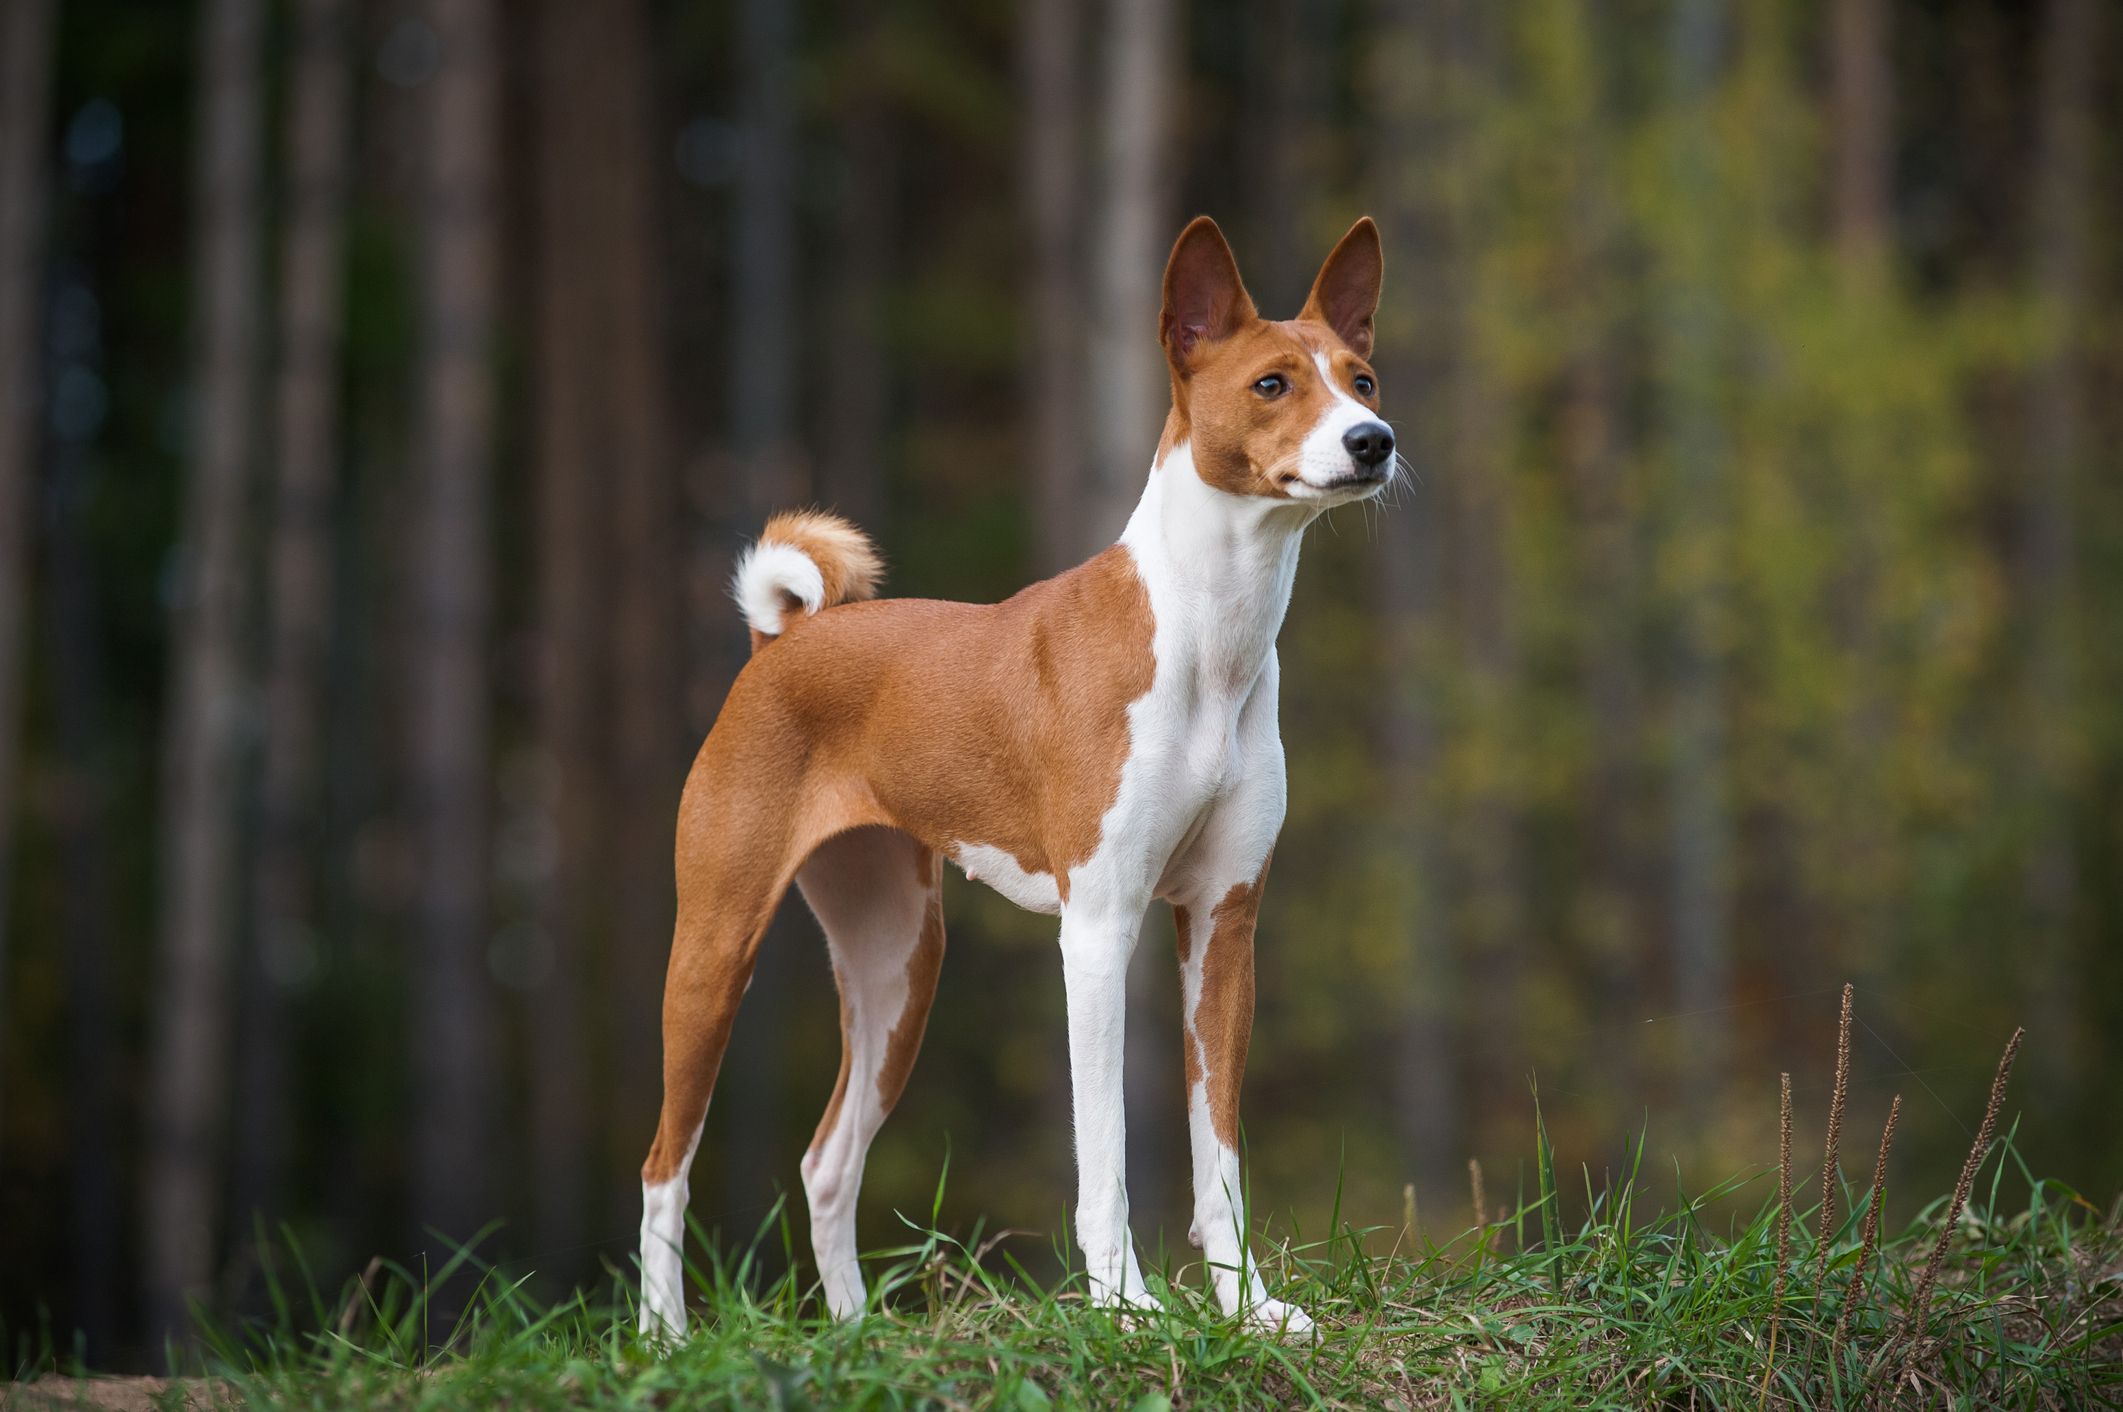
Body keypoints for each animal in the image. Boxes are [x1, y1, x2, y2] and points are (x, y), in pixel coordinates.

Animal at [636, 212, 1401, 1333]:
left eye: (1362, 378)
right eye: (1271, 383)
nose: (1371, 440)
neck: (1209, 638)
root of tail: (781, 639)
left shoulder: (1224, 926)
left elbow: (1217, 1155)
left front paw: (1248, 1308)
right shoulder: (1098, 930)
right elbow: (1105, 1156)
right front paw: (1124, 1304)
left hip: (897, 967)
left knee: (826, 1160)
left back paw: (858, 1333)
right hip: (713, 947)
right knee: (664, 1163)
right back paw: (664, 1339)